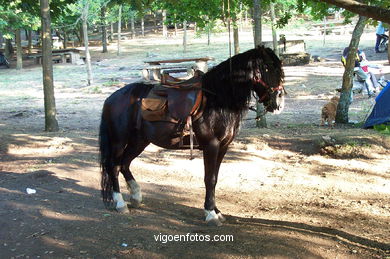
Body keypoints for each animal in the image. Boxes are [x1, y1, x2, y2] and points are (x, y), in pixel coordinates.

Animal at [99, 46, 284, 225]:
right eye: (267, 67)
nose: (279, 102)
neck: (218, 100)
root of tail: (111, 98)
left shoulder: (223, 146)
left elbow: (215, 178)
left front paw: (217, 211)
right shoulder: (211, 145)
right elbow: (210, 179)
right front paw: (210, 214)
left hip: (139, 141)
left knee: (125, 164)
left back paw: (136, 196)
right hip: (119, 141)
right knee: (114, 166)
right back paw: (120, 203)